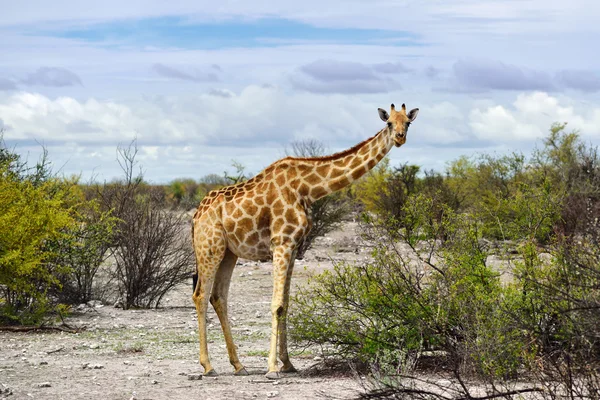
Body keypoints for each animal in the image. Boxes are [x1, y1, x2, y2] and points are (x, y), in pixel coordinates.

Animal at [191, 102, 418, 378]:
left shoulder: (294, 247)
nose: (400, 138)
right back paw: (208, 366)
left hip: (229, 253)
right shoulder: (281, 243)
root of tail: (196, 215)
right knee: (201, 295)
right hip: (209, 247)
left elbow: (286, 304)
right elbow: (276, 304)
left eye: (408, 122)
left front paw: (288, 364)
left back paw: (239, 365)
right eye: (389, 123)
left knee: (218, 297)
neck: (308, 189)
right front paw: (272, 369)